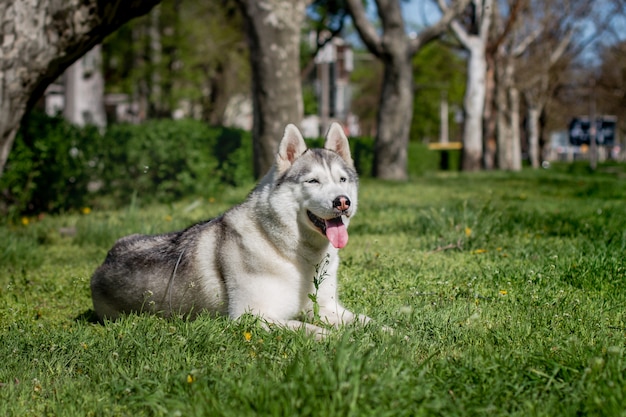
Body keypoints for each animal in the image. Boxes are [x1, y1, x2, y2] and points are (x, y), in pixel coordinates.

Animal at [90, 122, 368, 336]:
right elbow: (312, 329)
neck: (294, 254)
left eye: (342, 179)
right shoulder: (253, 315)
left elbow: (367, 321)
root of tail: (105, 260)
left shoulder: (327, 307)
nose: (342, 201)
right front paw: (341, 339)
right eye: (313, 181)